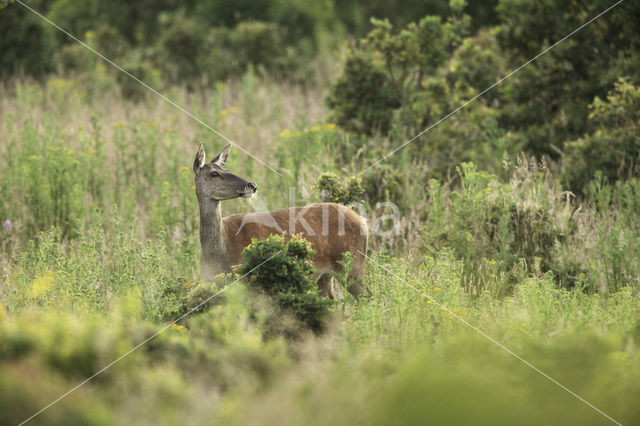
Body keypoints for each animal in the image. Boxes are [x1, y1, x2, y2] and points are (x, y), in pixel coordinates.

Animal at [191, 141, 370, 298]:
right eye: (214, 173)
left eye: (227, 168)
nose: (252, 185)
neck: (221, 253)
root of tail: (362, 220)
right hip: (324, 276)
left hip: (353, 264)